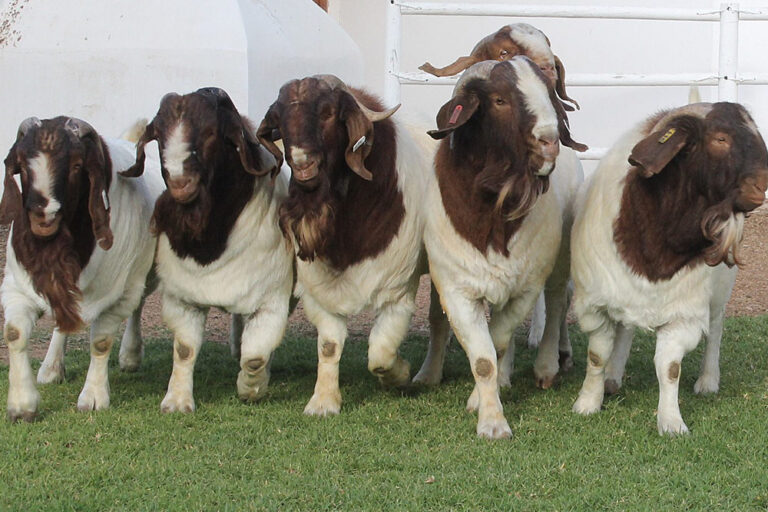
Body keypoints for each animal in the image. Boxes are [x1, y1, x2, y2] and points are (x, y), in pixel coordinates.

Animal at [1, 116, 162, 420]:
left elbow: (100, 342)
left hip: (143, 275)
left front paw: (94, 397)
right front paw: (21, 405)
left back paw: (130, 355)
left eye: (77, 165)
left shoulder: (118, 294)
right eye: (23, 164)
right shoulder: (17, 288)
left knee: (138, 303)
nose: (44, 214)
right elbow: (15, 334)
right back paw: (51, 368)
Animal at [123, 87, 293, 412]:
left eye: (212, 132)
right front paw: (177, 401)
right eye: (158, 135)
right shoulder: (183, 298)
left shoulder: (272, 300)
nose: (180, 182)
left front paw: (250, 388)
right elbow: (185, 349)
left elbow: (255, 357)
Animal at [256, 74, 436, 416]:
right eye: (280, 120)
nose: (303, 163)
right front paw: (324, 401)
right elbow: (329, 345)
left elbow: (380, 353)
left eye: (328, 113)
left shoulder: (398, 289)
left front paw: (400, 374)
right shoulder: (318, 289)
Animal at [422, 57, 586, 438]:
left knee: (558, 302)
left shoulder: (526, 287)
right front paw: (491, 417)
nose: (549, 141)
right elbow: (485, 358)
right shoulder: (457, 290)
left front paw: (483, 406)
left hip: (560, 259)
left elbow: (495, 344)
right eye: (499, 100)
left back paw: (548, 365)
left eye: (548, 93)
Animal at [571, 102, 768, 435]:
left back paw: (708, 380)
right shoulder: (594, 305)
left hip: (720, 290)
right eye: (720, 138)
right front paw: (587, 404)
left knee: (716, 328)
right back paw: (613, 377)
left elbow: (670, 368)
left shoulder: (683, 314)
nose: (762, 186)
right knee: (625, 330)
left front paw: (671, 422)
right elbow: (597, 355)